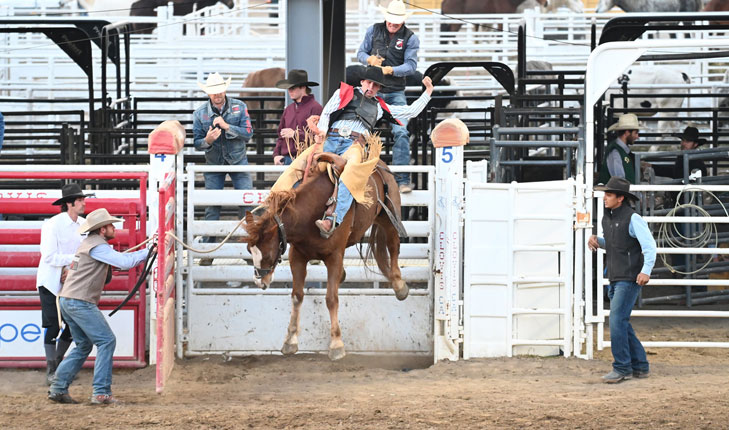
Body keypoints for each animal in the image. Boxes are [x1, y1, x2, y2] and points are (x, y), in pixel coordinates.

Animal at [243, 136, 410, 362]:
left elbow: (331, 299)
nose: (259, 281)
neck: (310, 214)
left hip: (388, 216)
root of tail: (380, 165)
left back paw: (400, 286)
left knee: (393, 246)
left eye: (267, 253)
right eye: (249, 250)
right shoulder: (297, 256)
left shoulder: (334, 256)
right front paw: (290, 341)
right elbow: (297, 295)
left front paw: (336, 345)